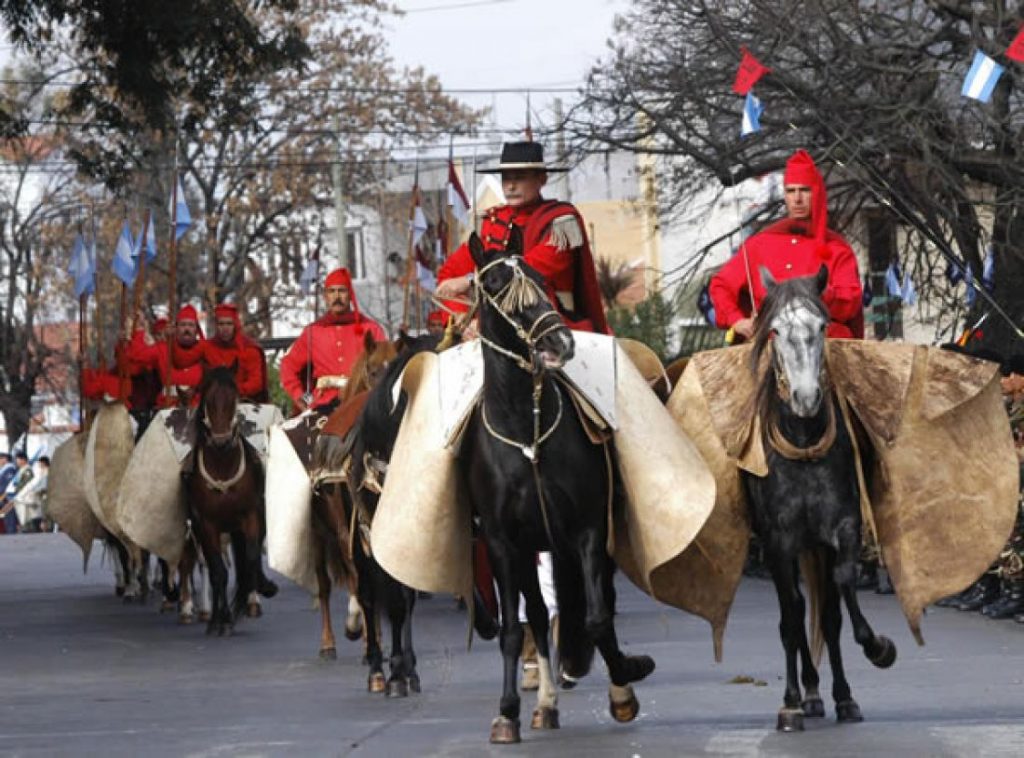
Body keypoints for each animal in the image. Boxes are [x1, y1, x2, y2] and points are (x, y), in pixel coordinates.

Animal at [181, 360, 274, 635]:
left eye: (234, 398)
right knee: (211, 568)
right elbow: (218, 571)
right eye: (209, 399)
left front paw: (259, 590)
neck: (222, 465)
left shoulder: (251, 516)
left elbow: (250, 559)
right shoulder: (206, 524)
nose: (221, 441)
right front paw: (219, 619)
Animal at [460, 228, 651, 741]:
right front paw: (506, 712)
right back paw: (544, 702)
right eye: (498, 285)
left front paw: (625, 685)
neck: (526, 432)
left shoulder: (587, 531)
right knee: (539, 616)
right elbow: (513, 629)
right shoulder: (503, 544)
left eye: (543, 279)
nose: (560, 341)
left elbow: (598, 617)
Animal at [745, 264, 897, 729]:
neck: (805, 443)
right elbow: (792, 617)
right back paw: (805, 695)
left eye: (822, 325)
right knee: (793, 616)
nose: (807, 398)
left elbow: (838, 596)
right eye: (774, 330)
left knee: (824, 615)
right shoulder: (779, 542)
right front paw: (791, 701)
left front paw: (876, 650)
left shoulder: (843, 527)